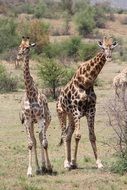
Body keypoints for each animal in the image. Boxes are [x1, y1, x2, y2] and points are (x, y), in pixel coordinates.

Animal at [56, 36, 118, 170]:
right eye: (103, 47)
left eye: (112, 48)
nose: (109, 57)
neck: (86, 81)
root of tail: (57, 99)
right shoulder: (76, 110)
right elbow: (78, 136)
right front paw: (74, 162)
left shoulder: (91, 110)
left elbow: (92, 136)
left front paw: (99, 163)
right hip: (62, 113)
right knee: (64, 135)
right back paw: (66, 163)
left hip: (70, 116)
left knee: (68, 135)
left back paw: (68, 161)